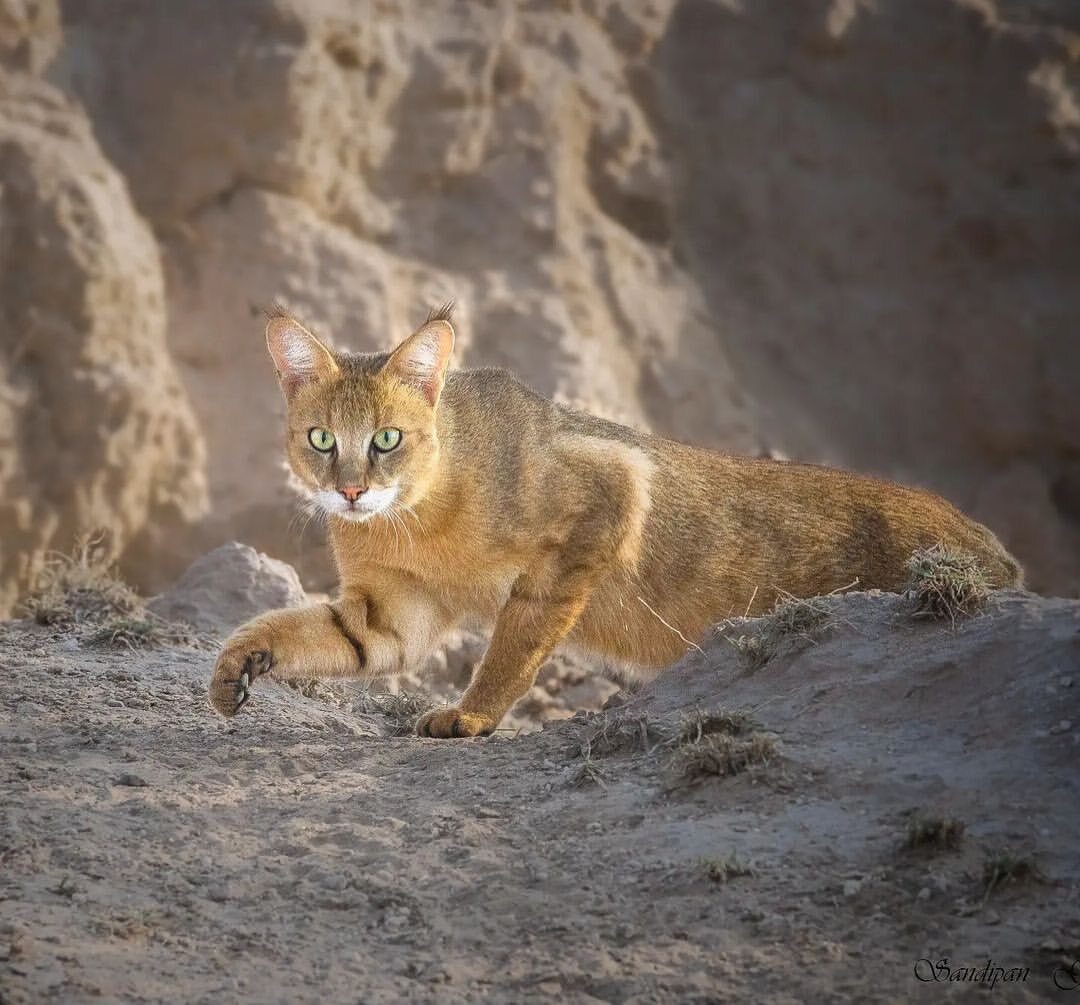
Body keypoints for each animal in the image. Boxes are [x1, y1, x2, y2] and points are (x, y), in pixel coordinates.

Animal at [208, 306, 1019, 738]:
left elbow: (518, 636)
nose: (349, 492)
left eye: (386, 438)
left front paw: (472, 715)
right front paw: (237, 665)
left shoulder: (608, 492)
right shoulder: (391, 614)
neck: (416, 517)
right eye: (321, 439)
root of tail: (993, 549)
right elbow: (313, 632)